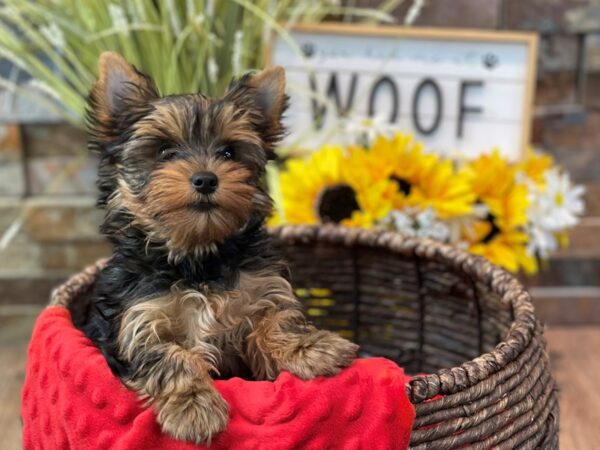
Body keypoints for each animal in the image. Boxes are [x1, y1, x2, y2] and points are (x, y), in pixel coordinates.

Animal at [81, 52, 358, 442]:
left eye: (229, 152)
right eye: (164, 151)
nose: (205, 179)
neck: (198, 256)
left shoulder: (261, 292)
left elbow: (276, 320)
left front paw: (312, 348)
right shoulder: (135, 320)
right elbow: (167, 355)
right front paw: (195, 408)